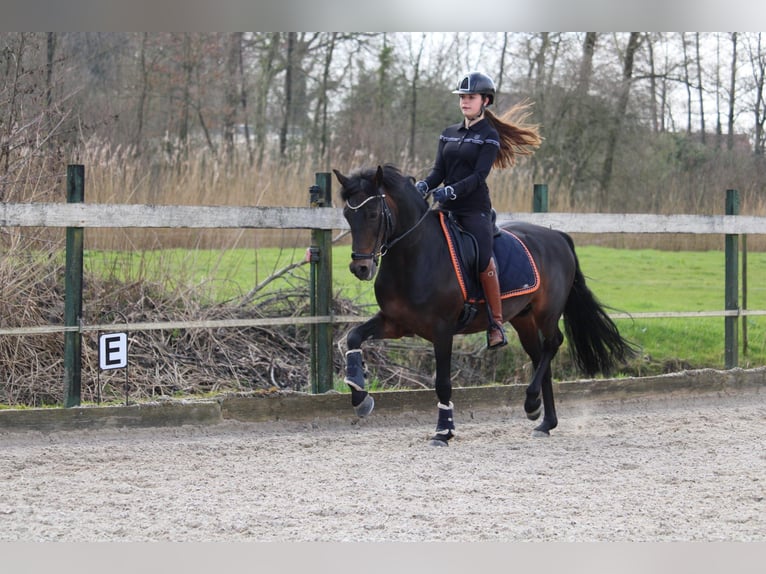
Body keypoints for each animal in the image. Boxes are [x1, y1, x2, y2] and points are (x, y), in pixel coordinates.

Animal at [334, 164, 636, 448]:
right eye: (348, 215)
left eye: (373, 214)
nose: (360, 268)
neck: (414, 255)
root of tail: (558, 236)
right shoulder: (396, 323)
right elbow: (353, 337)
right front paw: (360, 396)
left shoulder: (442, 330)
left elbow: (443, 383)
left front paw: (443, 431)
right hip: (523, 318)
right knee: (540, 356)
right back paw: (545, 421)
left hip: (547, 313)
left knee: (553, 344)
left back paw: (531, 403)